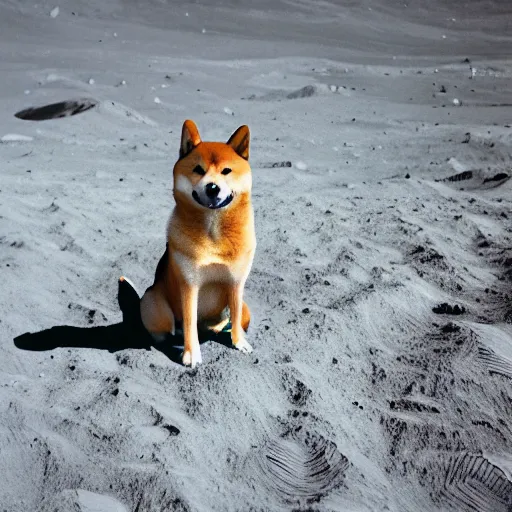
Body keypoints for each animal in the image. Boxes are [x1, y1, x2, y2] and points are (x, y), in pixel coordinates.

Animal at [138, 119, 256, 368]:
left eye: (226, 171)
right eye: (198, 170)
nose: (212, 187)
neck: (213, 234)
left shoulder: (236, 283)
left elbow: (235, 315)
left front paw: (239, 342)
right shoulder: (190, 284)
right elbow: (189, 320)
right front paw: (192, 354)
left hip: (244, 307)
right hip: (153, 302)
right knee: (167, 329)